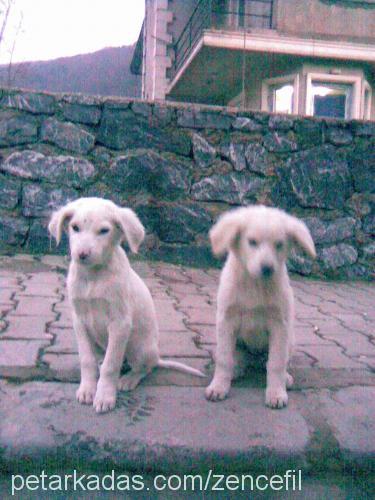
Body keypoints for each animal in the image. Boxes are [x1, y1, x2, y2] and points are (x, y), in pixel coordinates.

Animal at [49, 197, 206, 412]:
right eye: (75, 227)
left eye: (104, 231)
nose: (82, 254)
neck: (93, 277)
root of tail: (156, 356)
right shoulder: (79, 321)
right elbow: (87, 360)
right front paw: (87, 389)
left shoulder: (120, 323)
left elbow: (111, 365)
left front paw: (104, 395)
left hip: (139, 349)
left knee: (144, 368)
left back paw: (128, 379)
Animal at [206, 205, 318, 408]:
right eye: (252, 242)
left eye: (279, 244)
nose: (267, 268)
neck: (255, 284)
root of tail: (255, 358)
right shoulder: (227, 320)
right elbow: (224, 359)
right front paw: (218, 387)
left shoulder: (279, 325)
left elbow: (276, 363)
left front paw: (276, 393)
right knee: (236, 358)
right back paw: (237, 369)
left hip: (290, 340)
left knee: (276, 362)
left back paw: (285, 378)